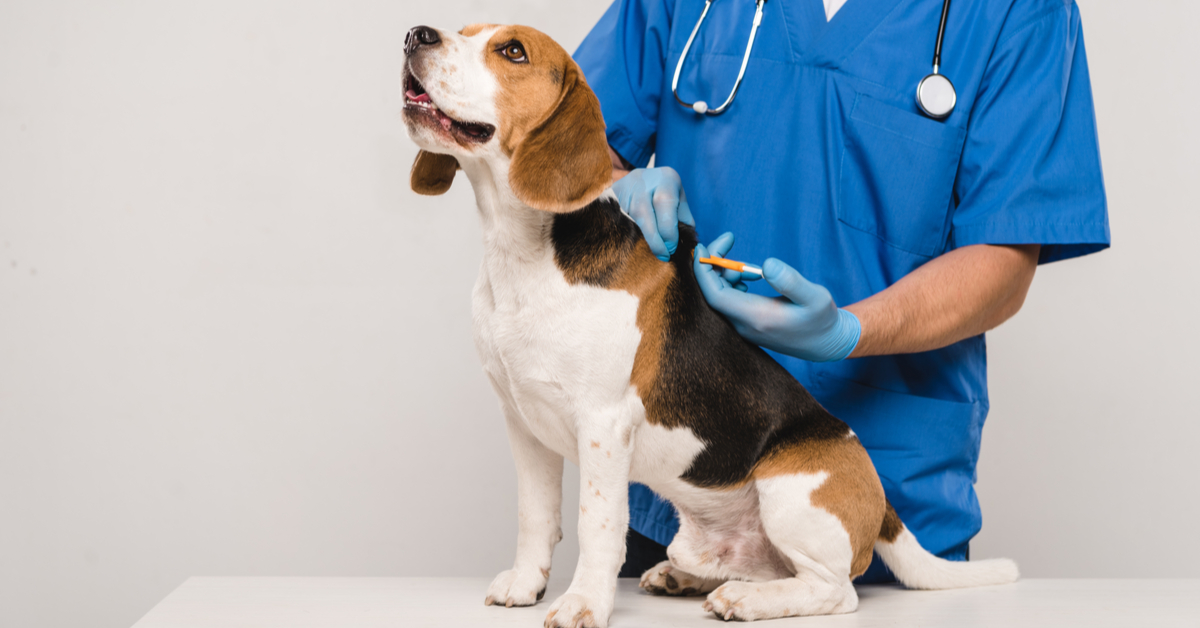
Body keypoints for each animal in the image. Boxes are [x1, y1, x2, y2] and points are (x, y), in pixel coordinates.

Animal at [398, 22, 1017, 624]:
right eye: (461, 31)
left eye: (513, 52)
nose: (415, 35)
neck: (522, 250)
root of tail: (881, 499)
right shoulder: (523, 423)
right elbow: (535, 516)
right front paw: (527, 584)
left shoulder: (602, 424)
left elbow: (597, 526)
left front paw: (584, 603)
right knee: (756, 566)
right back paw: (687, 577)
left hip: (790, 495)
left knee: (835, 590)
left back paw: (747, 601)